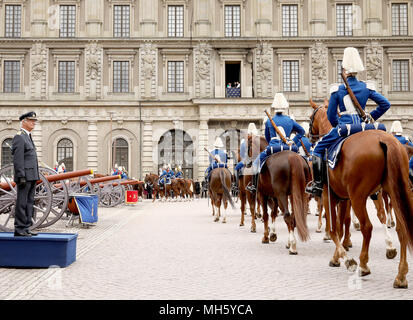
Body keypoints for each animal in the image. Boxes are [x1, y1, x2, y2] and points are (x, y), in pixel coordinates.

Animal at [308, 99, 412, 288]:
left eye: (310, 118)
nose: (308, 135)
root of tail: (384, 139)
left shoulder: (329, 196)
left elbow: (334, 228)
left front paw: (347, 260)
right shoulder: (343, 199)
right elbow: (341, 226)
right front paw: (337, 256)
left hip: (359, 198)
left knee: (368, 227)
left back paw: (364, 265)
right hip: (393, 193)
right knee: (401, 229)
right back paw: (400, 275)